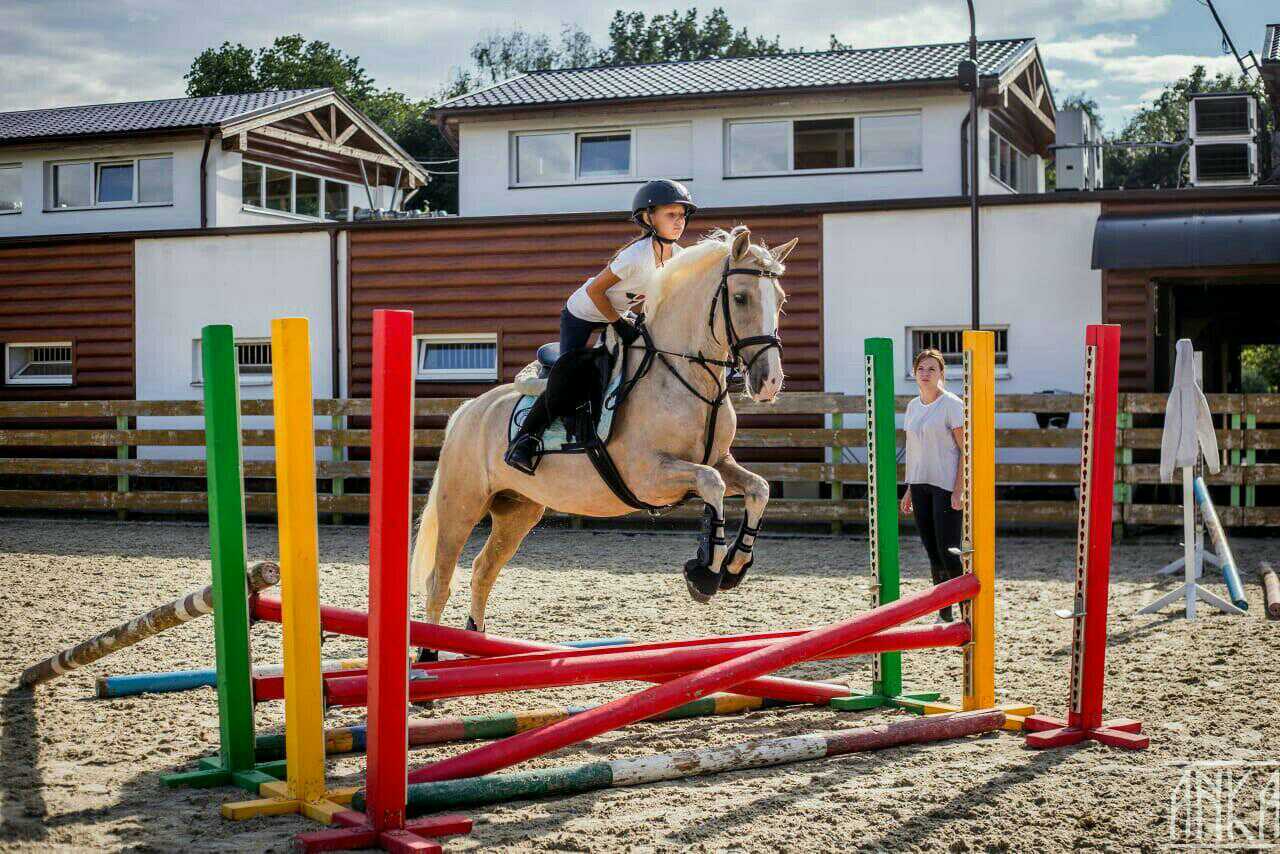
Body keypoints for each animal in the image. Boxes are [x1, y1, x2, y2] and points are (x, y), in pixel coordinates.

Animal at [411, 225, 796, 637]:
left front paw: (734, 567)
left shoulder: (718, 460)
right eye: (740, 298)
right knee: (440, 581)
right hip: (462, 505)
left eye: (780, 299)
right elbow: (713, 484)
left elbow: (758, 488)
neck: (684, 375)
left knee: (483, 570)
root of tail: (467, 410)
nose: (769, 382)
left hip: (517, 509)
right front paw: (705, 572)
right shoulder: (649, 476)